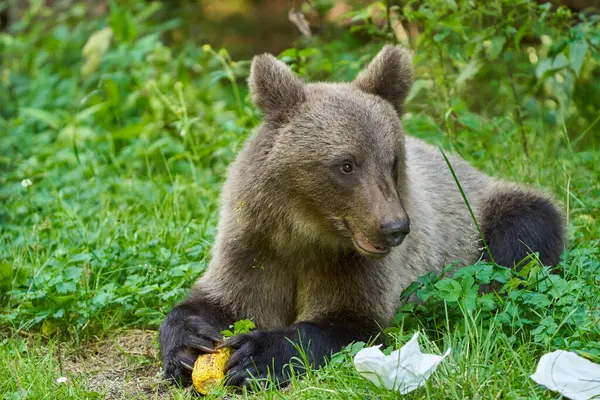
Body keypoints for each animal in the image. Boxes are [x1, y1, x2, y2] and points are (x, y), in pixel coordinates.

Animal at [157, 45, 564, 390]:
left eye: (392, 161)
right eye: (346, 164)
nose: (396, 227)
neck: (304, 230)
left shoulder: (354, 265)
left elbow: (349, 322)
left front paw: (256, 357)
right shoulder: (256, 244)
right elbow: (225, 299)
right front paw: (188, 340)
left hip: (482, 213)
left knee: (525, 232)